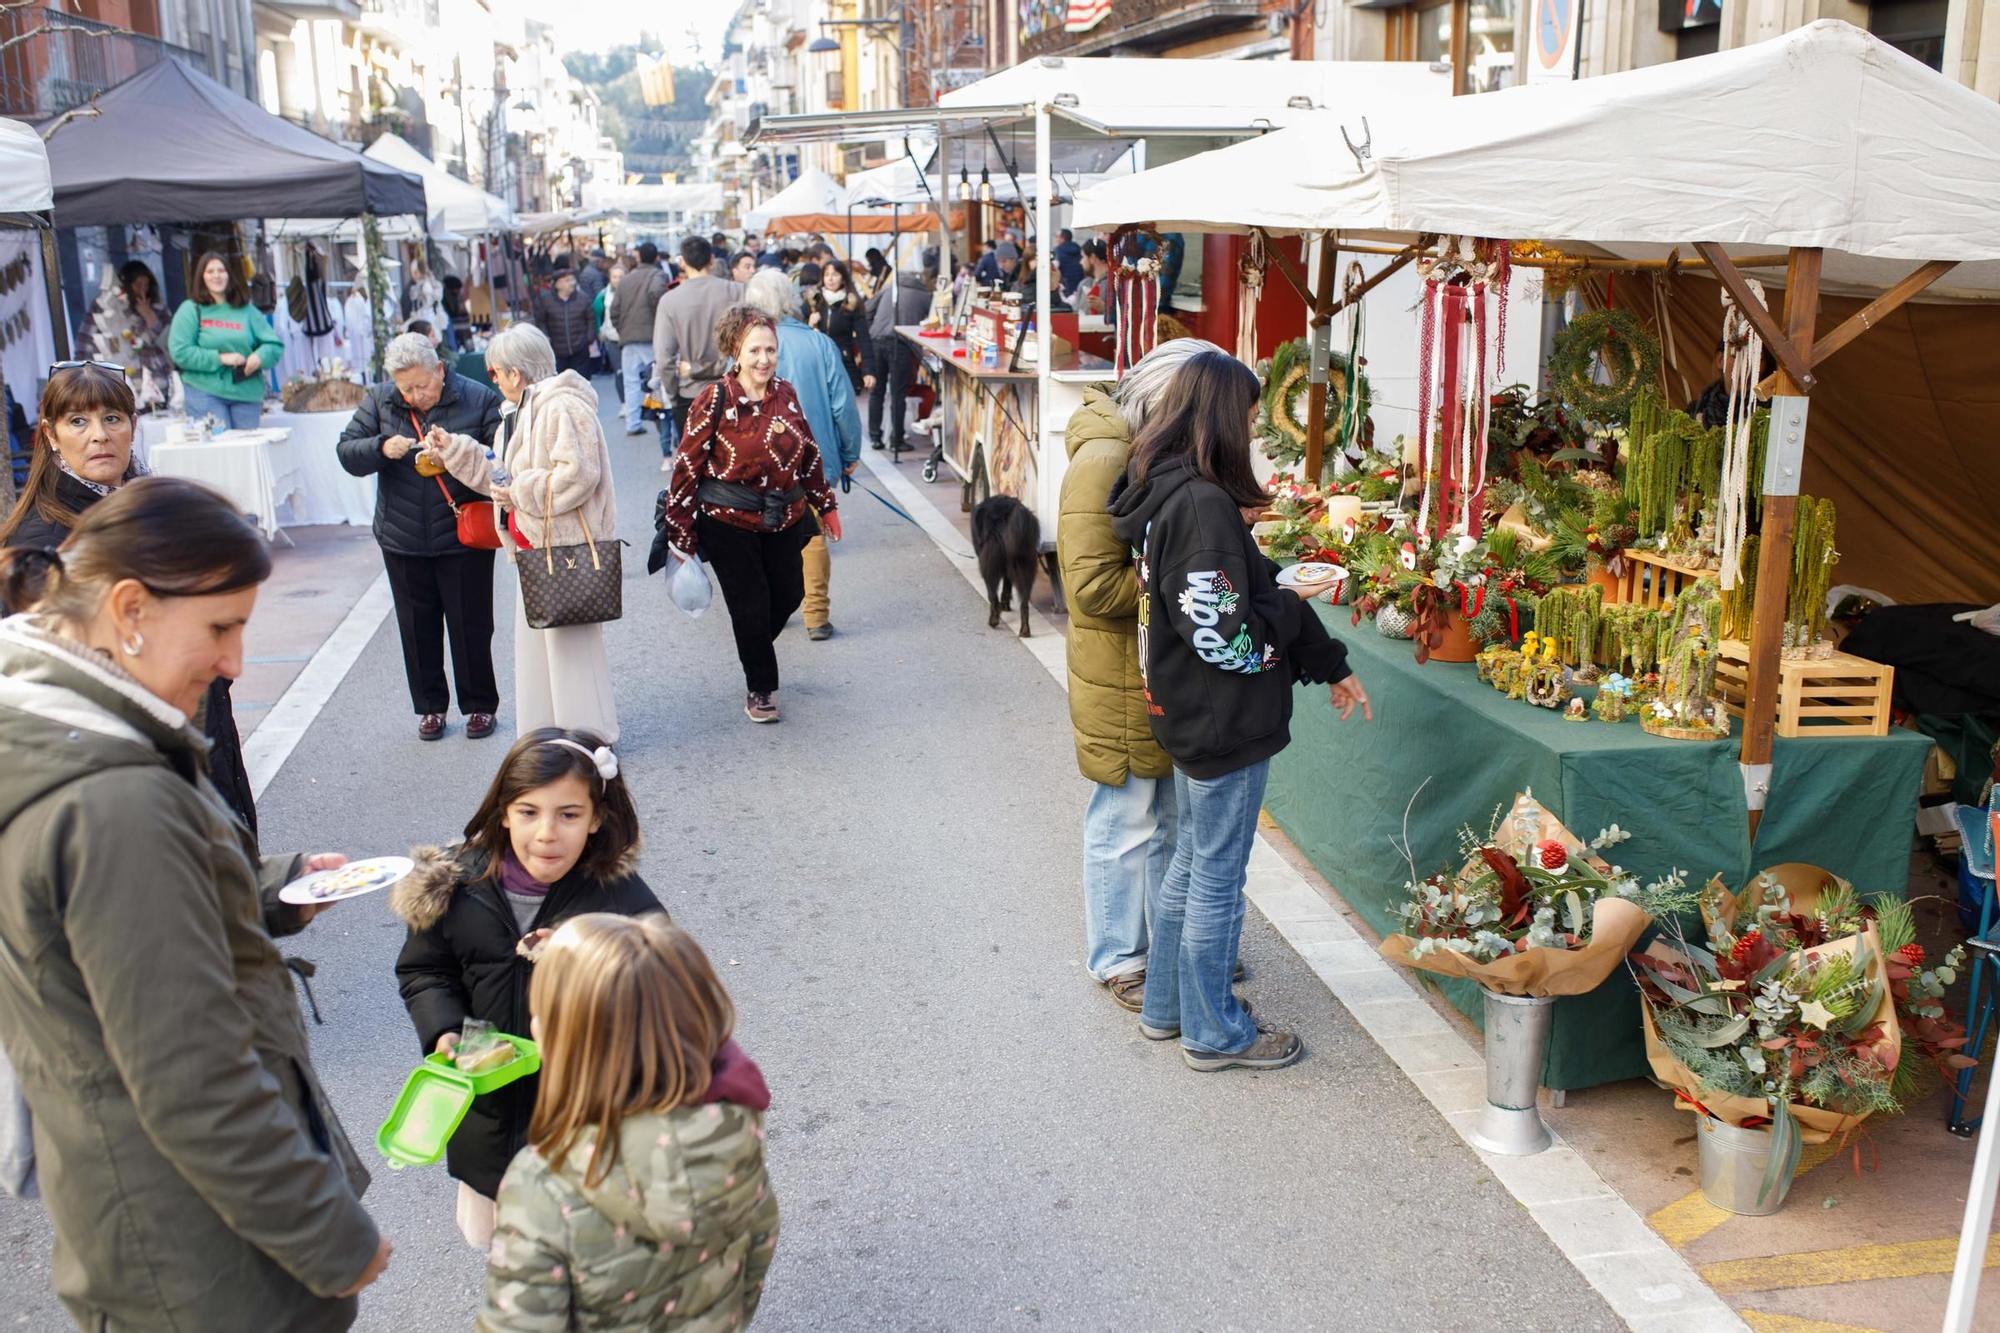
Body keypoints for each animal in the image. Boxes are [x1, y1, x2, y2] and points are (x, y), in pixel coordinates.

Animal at [972, 492, 1040, 640]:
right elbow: (1007, 585)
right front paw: (1005, 604)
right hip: (1024, 565)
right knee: (1024, 603)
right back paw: (1024, 630)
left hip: (990, 564)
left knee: (992, 595)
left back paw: (993, 620)